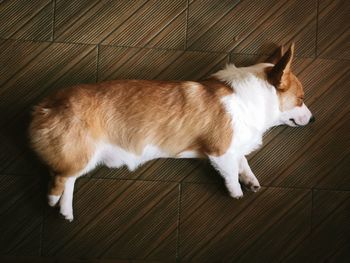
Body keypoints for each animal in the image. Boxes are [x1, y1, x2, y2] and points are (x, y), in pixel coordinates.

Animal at [29, 42, 314, 221]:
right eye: (301, 99)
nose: (313, 120)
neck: (251, 98)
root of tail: (45, 106)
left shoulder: (234, 148)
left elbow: (243, 162)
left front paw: (251, 180)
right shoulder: (220, 152)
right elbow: (231, 173)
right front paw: (236, 191)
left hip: (84, 158)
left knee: (69, 179)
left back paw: (66, 211)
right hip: (82, 154)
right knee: (59, 179)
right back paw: (54, 201)